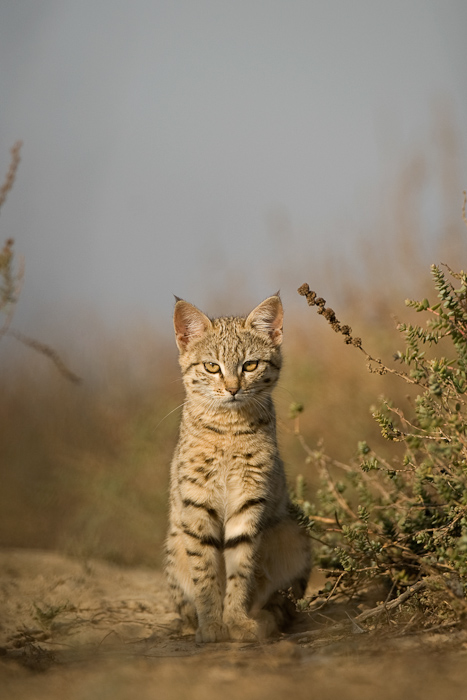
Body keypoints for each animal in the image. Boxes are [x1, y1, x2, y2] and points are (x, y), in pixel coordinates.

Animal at [165, 292, 310, 644]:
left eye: (251, 365)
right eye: (211, 367)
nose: (232, 389)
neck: (229, 427)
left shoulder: (248, 501)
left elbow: (240, 569)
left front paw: (236, 621)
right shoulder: (197, 504)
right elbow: (205, 573)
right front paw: (211, 625)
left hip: (294, 530)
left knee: (283, 601)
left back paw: (263, 618)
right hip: (174, 544)